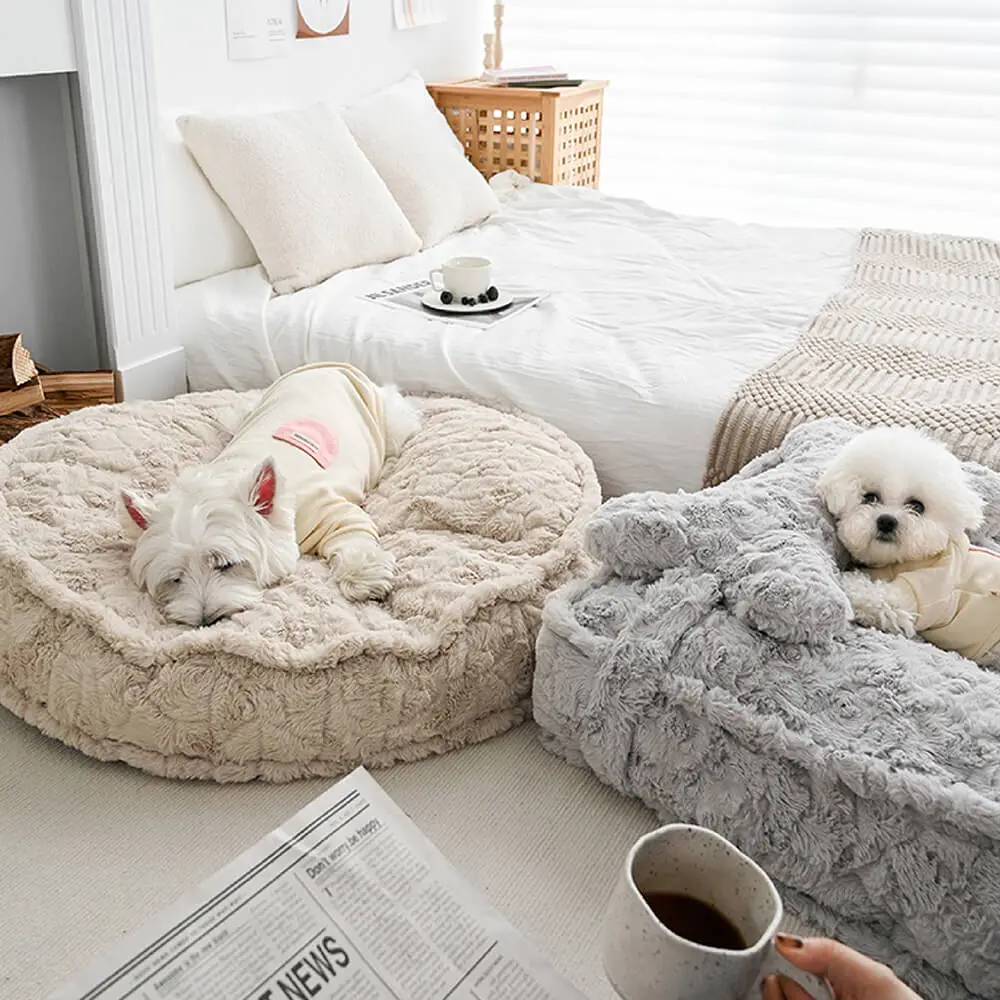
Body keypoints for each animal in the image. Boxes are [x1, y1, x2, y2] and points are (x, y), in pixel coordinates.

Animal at [119, 360, 420, 624]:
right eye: (176, 578)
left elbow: (353, 533)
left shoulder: (324, 509)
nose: (206, 619)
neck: (233, 472)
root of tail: (332, 364)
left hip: (389, 422)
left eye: (226, 565)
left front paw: (362, 577)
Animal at [812, 426, 1000, 668]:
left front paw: (845, 581)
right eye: (870, 497)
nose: (886, 521)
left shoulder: (922, 591)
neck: (903, 561)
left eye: (917, 506)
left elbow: (874, 595)